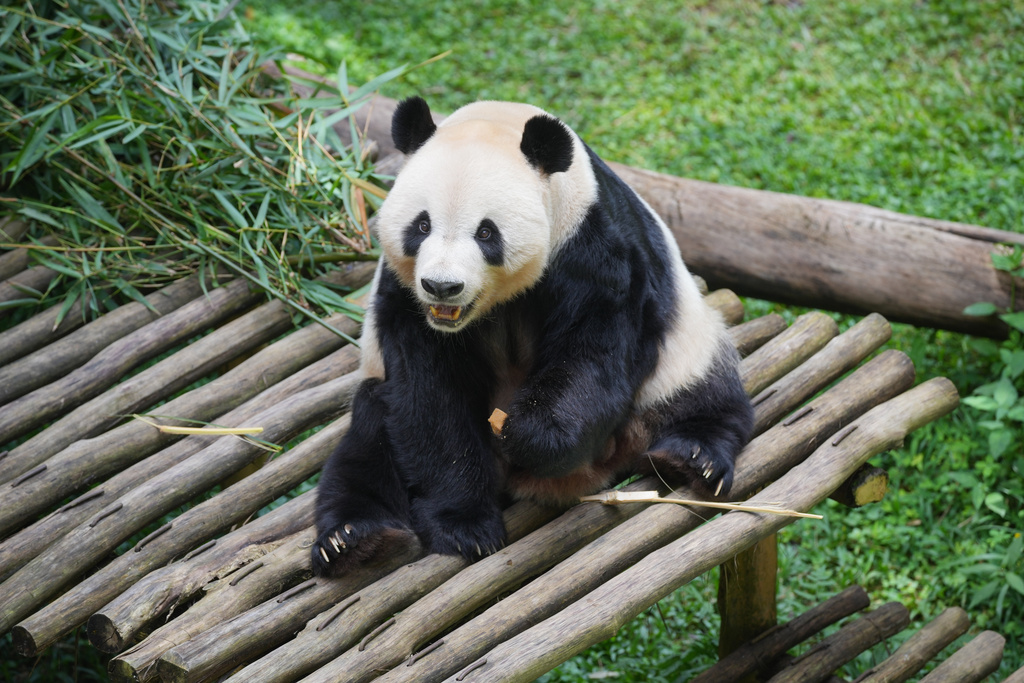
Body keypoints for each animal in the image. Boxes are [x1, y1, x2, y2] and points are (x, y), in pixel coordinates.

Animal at [312, 97, 753, 577]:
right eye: (421, 226)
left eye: (486, 232)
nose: (441, 287)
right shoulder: (404, 297)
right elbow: (430, 395)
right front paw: (465, 526)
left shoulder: (591, 245)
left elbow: (592, 352)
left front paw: (528, 433)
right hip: (376, 398)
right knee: (367, 440)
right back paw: (353, 539)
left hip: (681, 350)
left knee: (704, 393)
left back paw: (693, 457)